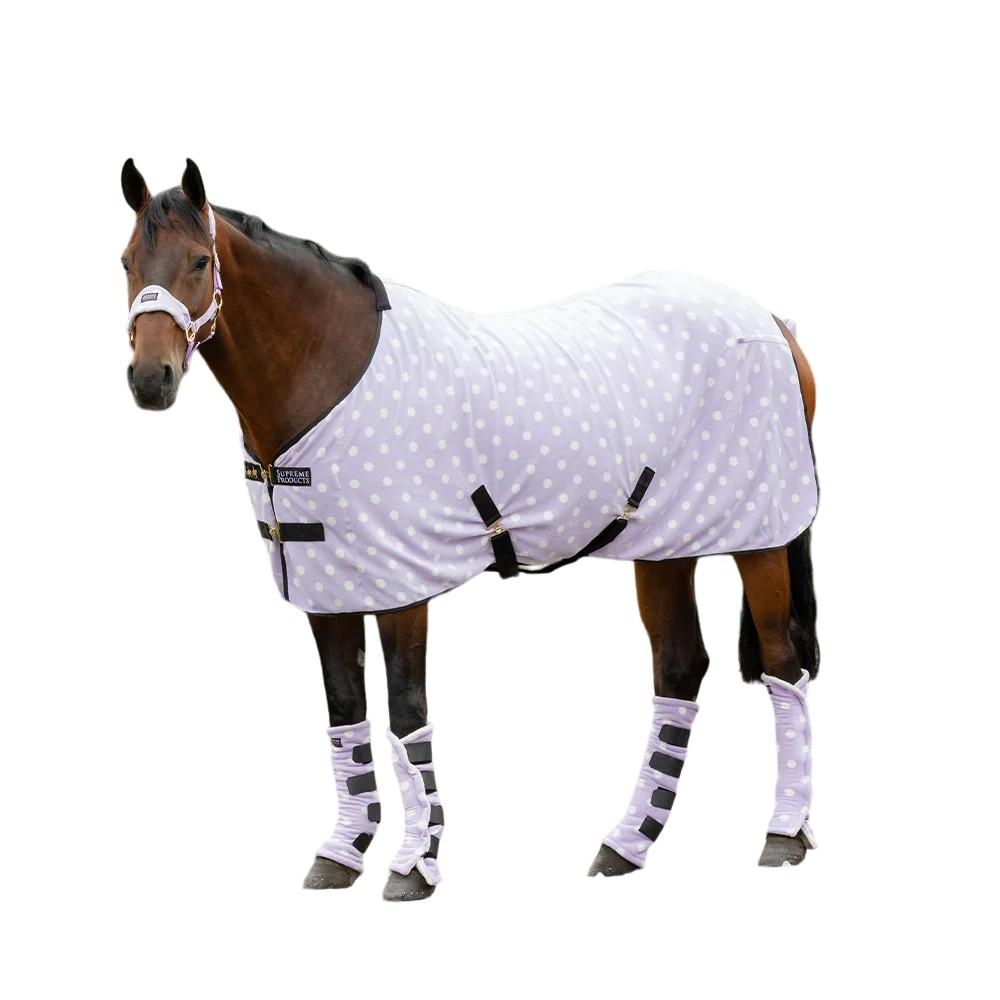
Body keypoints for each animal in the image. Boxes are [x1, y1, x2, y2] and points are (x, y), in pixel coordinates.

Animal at [121, 159, 820, 901]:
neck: (329, 365)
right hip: (666, 543)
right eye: (127, 261)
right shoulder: (329, 587)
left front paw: (414, 866)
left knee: (782, 666)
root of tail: (774, 323)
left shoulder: (402, 587)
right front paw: (342, 854)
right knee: (680, 667)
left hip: (762, 541)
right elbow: (345, 712)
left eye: (200, 261)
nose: (150, 379)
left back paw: (782, 835)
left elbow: (406, 713)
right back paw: (627, 844)